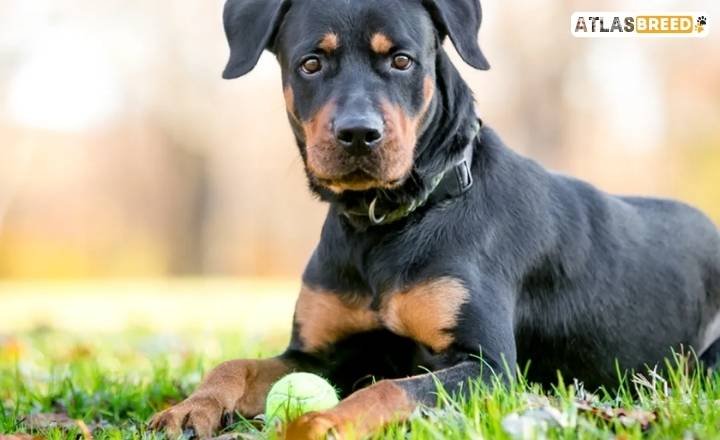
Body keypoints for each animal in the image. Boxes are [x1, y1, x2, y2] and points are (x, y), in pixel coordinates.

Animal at [148, 0, 720, 438]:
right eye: (311, 63)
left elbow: (388, 390)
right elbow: (236, 364)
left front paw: (320, 422)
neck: (384, 225)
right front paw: (191, 407)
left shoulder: (489, 368)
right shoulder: (321, 352)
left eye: (402, 60)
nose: (358, 134)